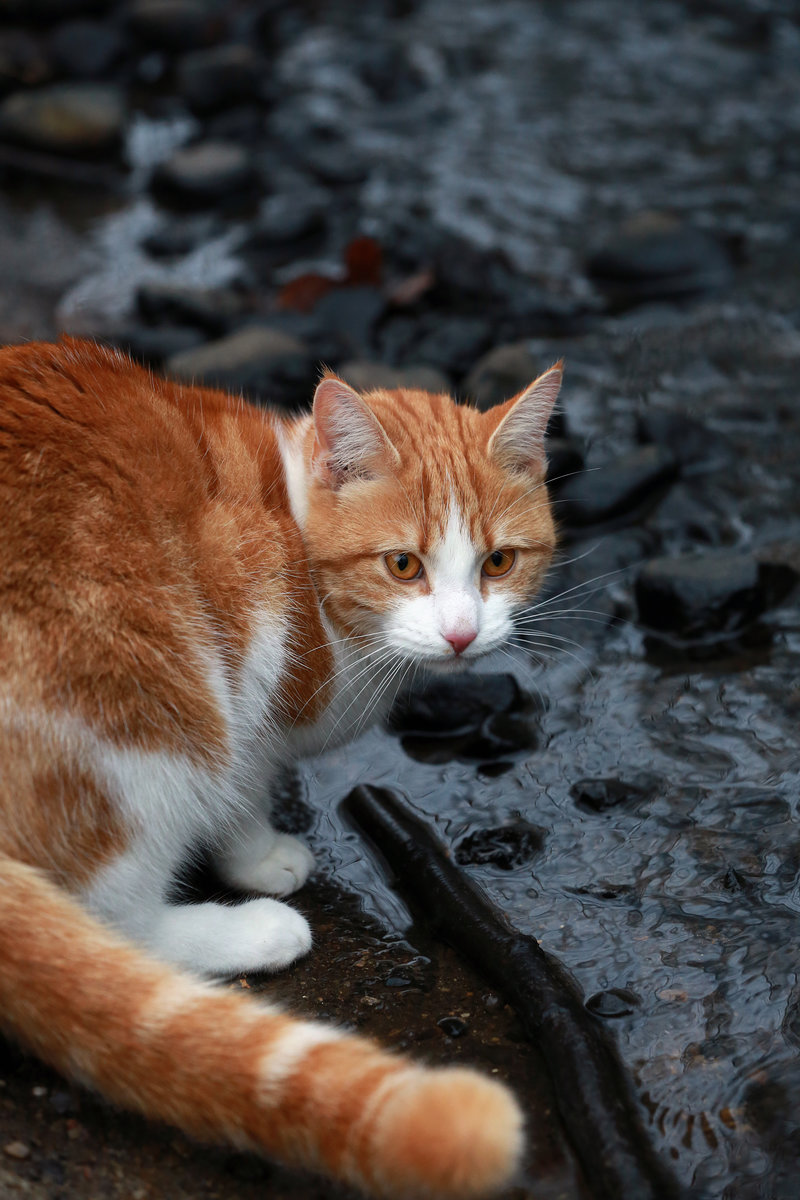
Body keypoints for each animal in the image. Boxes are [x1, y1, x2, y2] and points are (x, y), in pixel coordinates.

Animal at [0, 338, 563, 1200]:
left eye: (498, 562)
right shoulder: (246, 667)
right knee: (115, 917)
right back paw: (249, 932)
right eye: (404, 565)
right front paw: (261, 855)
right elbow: (243, 781)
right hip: (153, 694)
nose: (463, 635)